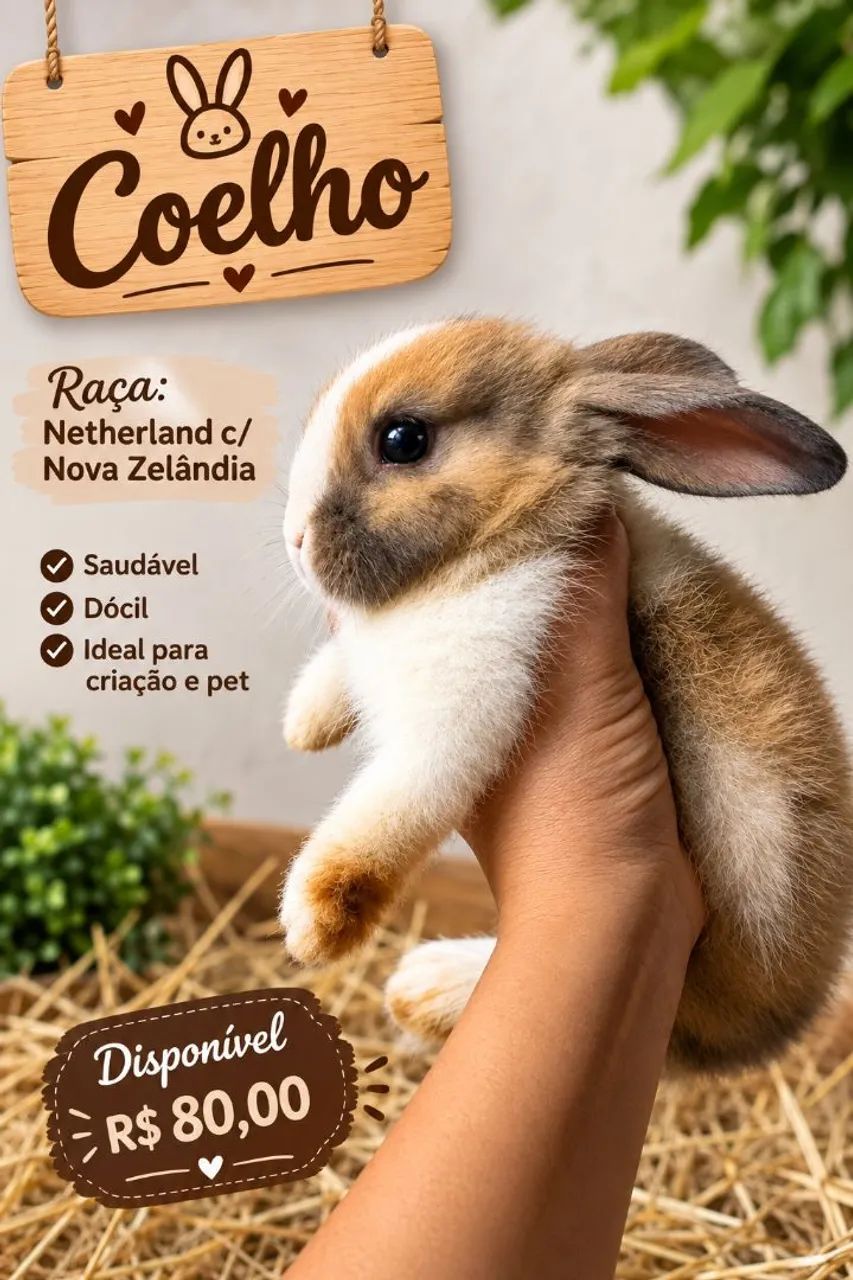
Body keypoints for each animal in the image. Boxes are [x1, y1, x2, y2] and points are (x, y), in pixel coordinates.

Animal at [278, 317, 853, 1073]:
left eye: (403, 439)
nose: (293, 539)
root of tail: (775, 1027)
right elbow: (341, 664)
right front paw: (304, 722)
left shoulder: (470, 698)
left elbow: (383, 818)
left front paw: (313, 924)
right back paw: (418, 990)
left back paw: (420, 988)